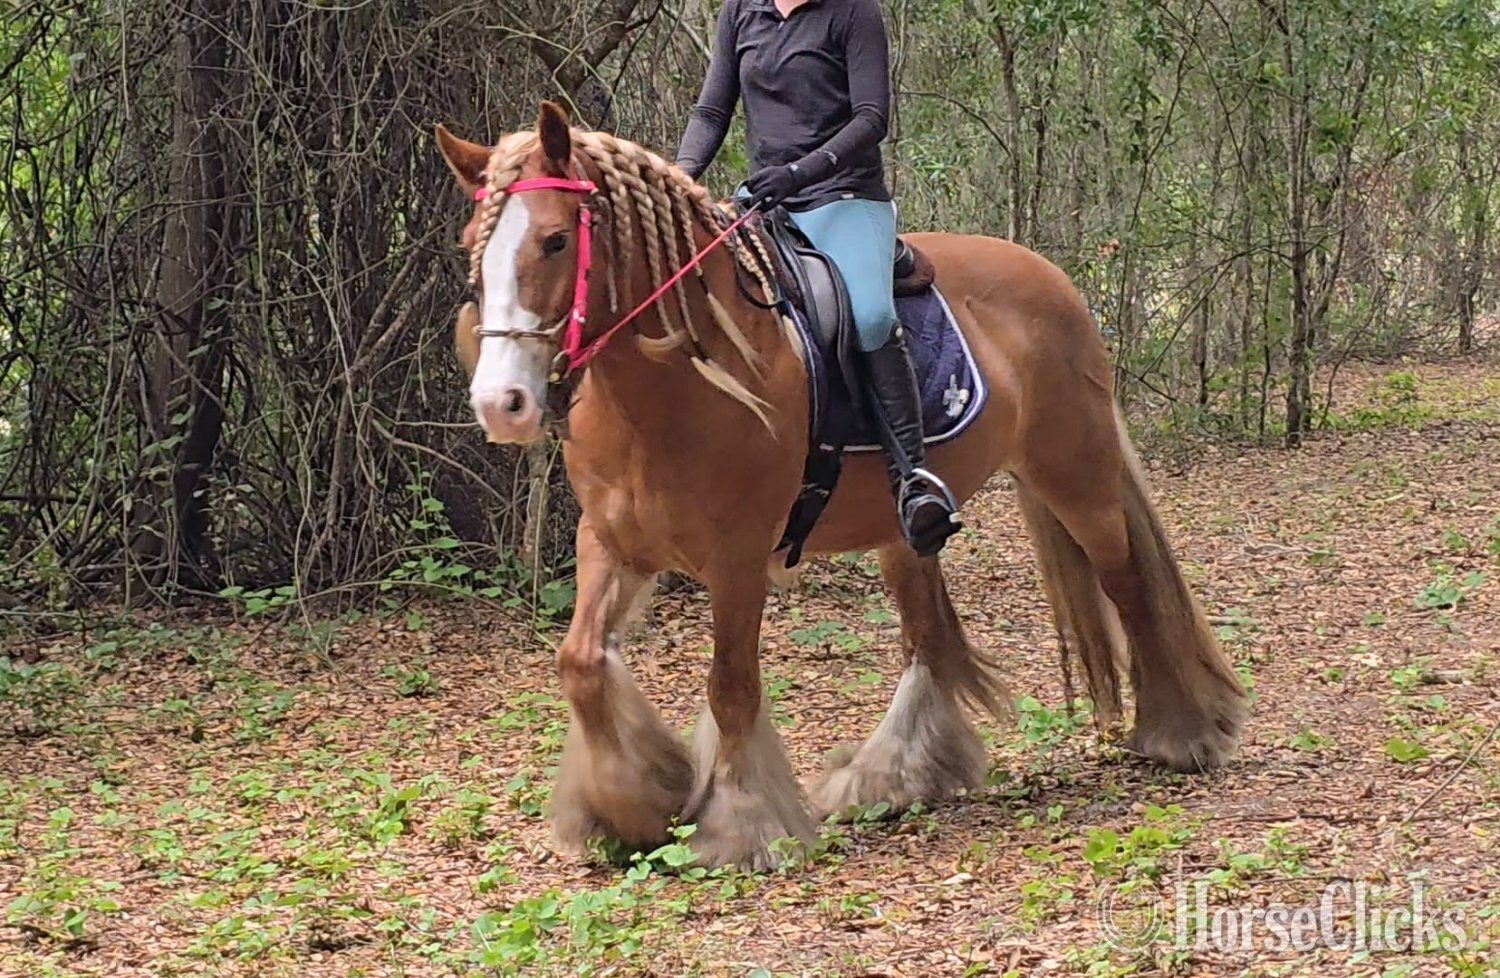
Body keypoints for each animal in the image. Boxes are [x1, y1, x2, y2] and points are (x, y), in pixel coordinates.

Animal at [432, 102, 1248, 870]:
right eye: (473, 247)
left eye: (555, 241)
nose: (502, 403)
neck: (681, 380)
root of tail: (1053, 277)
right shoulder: (612, 543)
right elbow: (579, 665)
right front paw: (635, 806)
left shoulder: (737, 560)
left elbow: (731, 687)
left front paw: (743, 828)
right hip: (907, 526)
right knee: (929, 636)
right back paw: (893, 779)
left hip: (1074, 474)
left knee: (1128, 583)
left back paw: (1179, 733)